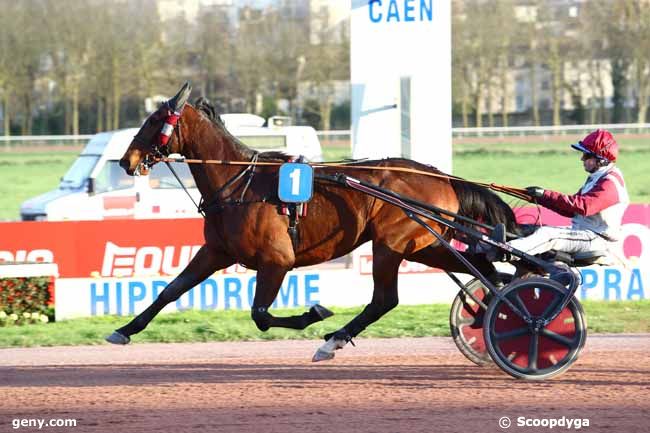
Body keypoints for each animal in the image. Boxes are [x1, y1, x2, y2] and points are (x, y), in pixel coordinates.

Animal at [107, 82, 516, 360]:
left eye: (154, 120)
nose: (127, 161)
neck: (239, 182)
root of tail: (441, 176)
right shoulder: (216, 251)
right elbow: (170, 290)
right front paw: (124, 330)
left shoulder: (277, 260)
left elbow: (260, 314)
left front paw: (314, 313)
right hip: (423, 245)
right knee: (484, 269)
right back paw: (491, 318)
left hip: (391, 244)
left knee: (384, 299)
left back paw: (334, 339)